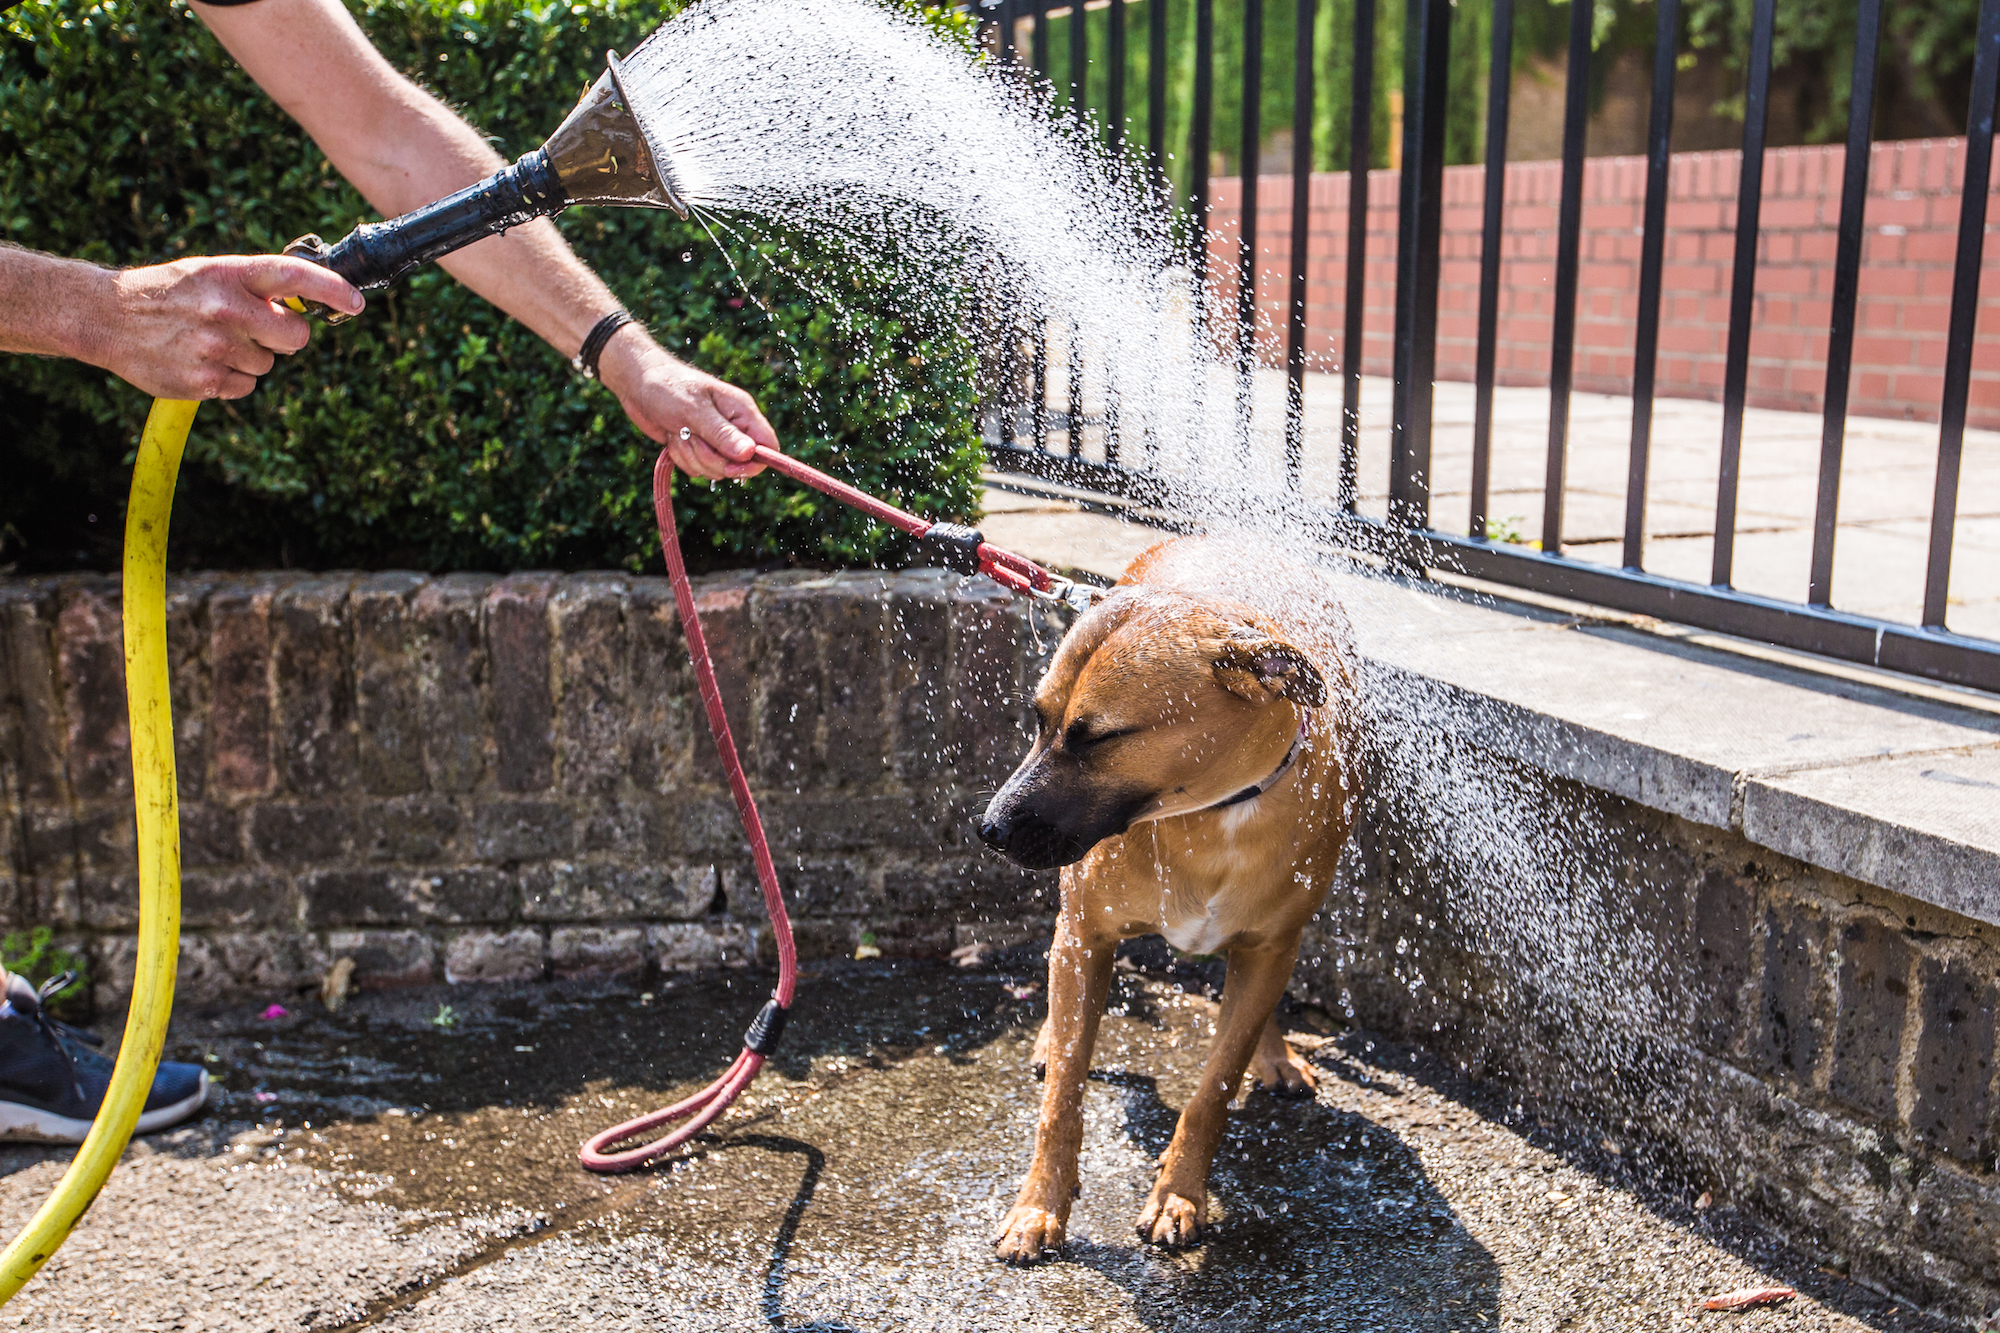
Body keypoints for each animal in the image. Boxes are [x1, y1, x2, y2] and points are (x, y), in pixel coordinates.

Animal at [972, 532, 1352, 1256]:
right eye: (1037, 719)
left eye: (1099, 738)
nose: (990, 830)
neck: (1211, 813)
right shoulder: (1085, 935)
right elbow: (1063, 1094)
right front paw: (1039, 1205)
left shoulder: (1270, 943)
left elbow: (1213, 1089)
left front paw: (1180, 1194)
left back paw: (1275, 1052)